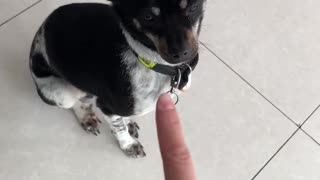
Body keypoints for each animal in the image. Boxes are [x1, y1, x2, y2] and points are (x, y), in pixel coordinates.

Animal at [29, 0, 205, 158]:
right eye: (148, 17)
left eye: (193, 7)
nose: (182, 53)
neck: (148, 60)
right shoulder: (107, 106)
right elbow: (119, 129)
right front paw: (129, 145)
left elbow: (121, 120)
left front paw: (128, 122)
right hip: (61, 92)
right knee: (75, 103)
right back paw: (86, 116)